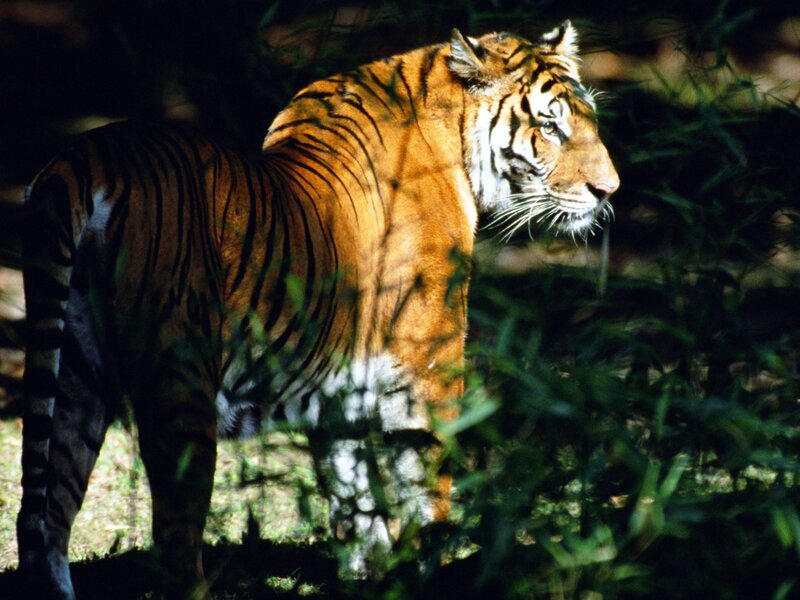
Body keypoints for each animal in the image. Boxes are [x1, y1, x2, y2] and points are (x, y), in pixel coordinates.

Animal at [17, 21, 618, 599]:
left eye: (588, 121)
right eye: (550, 127)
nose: (608, 190)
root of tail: (82, 160)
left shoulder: (340, 391)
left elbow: (356, 508)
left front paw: (371, 580)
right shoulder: (428, 365)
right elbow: (427, 492)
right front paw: (430, 573)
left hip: (75, 374)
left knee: (44, 515)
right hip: (180, 387)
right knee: (174, 543)